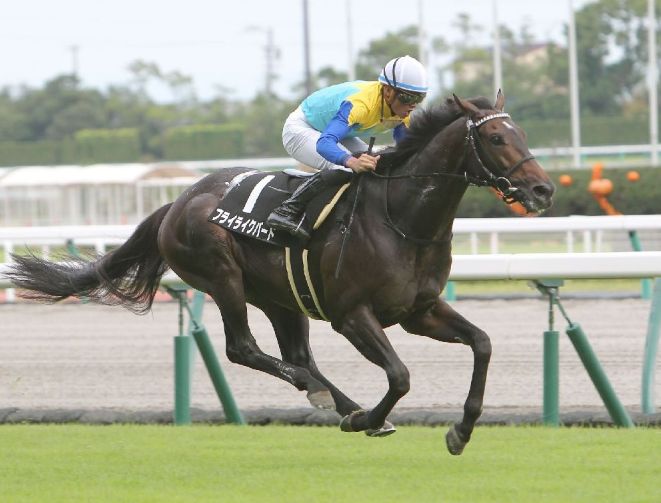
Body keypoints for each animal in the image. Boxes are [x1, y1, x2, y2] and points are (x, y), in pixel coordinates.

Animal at [6, 91, 554, 455]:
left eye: (523, 134)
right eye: (496, 137)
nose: (543, 190)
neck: (402, 219)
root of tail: (178, 201)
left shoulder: (420, 311)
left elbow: (482, 343)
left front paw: (460, 431)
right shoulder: (352, 314)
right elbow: (399, 376)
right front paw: (372, 418)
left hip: (279, 295)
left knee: (298, 355)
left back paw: (338, 401)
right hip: (221, 276)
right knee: (244, 348)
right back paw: (332, 400)